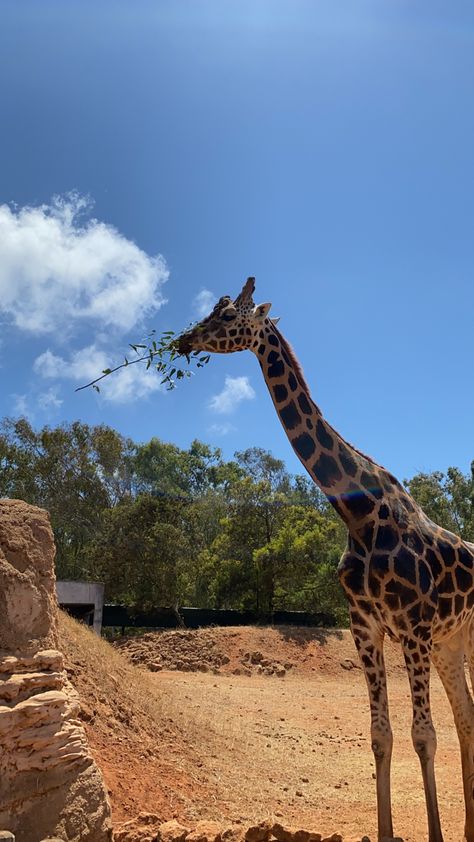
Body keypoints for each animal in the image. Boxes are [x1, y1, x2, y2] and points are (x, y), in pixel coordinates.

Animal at [177, 278, 474, 840]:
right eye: (211, 308)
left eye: (227, 315)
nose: (184, 340)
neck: (358, 514)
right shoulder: (367, 626)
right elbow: (382, 734)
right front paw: (387, 832)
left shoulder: (414, 627)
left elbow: (423, 735)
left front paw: (435, 833)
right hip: (453, 641)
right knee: (468, 717)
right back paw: (472, 828)